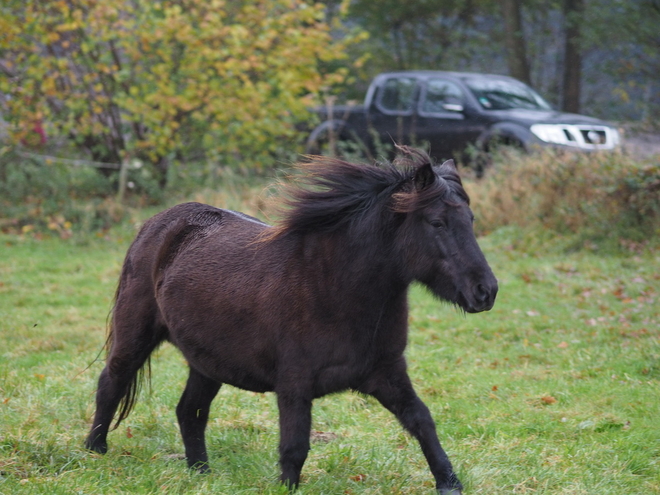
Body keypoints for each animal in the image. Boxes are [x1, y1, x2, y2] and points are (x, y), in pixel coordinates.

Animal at [86, 147, 496, 495]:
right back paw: (94, 452)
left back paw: (201, 472)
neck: (336, 287)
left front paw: (449, 483)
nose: (486, 291)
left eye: (470, 219)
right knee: (111, 383)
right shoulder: (295, 383)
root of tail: (157, 223)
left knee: (190, 412)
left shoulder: (386, 373)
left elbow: (421, 420)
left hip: (207, 362)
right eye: (437, 222)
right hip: (135, 335)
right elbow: (295, 448)